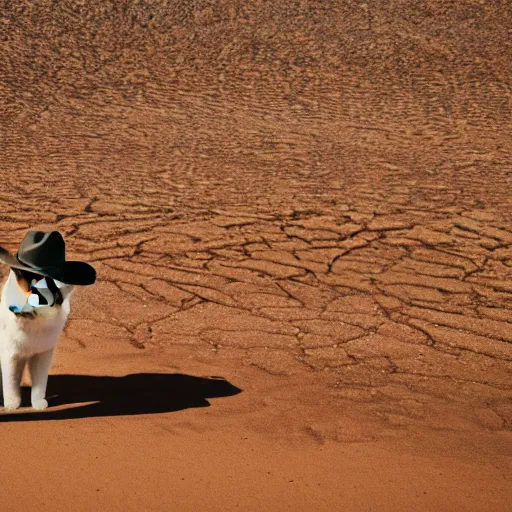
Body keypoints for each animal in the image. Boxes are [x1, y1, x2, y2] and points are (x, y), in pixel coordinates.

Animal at [0, 270, 74, 410]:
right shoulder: (10, 355)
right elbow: (11, 381)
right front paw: (12, 404)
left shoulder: (42, 354)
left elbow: (40, 383)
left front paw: (38, 403)